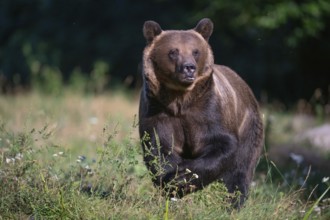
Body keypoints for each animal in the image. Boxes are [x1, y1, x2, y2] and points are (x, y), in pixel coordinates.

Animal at [138, 18, 264, 206]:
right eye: (173, 51)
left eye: (195, 51)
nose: (189, 67)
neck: (180, 99)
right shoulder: (158, 109)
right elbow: (160, 146)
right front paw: (172, 183)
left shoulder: (208, 112)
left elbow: (221, 145)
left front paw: (182, 179)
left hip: (249, 124)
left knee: (241, 169)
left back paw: (232, 204)